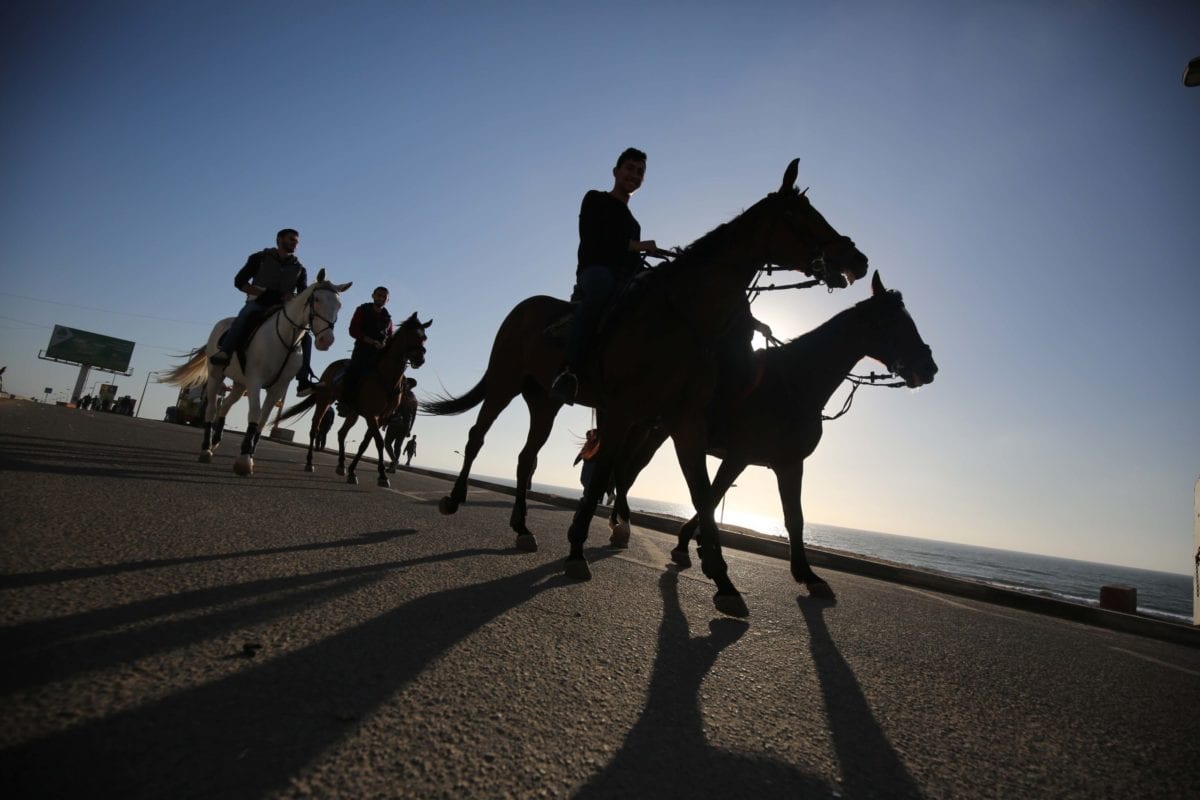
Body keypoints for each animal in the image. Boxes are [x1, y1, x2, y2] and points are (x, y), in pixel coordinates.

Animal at [159, 268, 350, 474]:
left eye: (339, 305)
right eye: (317, 300)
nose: (326, 340)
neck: (286, 338)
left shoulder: (277, 388)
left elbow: (263, 418)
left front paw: (249, 454)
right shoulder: (255, 381)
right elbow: (255, 413)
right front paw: (244, 458)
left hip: (239, 384)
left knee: (225, 405)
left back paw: (216, 440)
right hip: (216, 375)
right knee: (211, 408)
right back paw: (206, 449)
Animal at [279, 311, 432, 489]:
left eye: (425, 337)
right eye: (412, 335)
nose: (420, 360)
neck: (387, 377)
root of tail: (331, 367)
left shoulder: (382, 417)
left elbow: (365, 443)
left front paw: (353, 471)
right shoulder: (372, 415)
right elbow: (379, 442)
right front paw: (382, 475)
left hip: (353, 413)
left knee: (341, 433)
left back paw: (341, 465)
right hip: (324, 401)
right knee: (315, 429)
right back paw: (310, 463)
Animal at [427, 159, 868, 618]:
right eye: (800, 216)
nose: (857, 258)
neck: (680, 317)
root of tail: (524, 308)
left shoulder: (683, 421)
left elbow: (700, 493)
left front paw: (723, 581)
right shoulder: (623, 411)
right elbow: (603, 474)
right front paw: (576, 550)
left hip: (546, 402)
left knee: (526, 459)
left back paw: (521, 527)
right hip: (504, 383)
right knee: (477, 437)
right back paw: (455, 499)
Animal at [609, 272, 936, 597]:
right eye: (893, 321)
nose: (929, 367)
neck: (794, 383)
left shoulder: (788, 464)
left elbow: (793, 517)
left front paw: (807, 574)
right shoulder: (738, 457)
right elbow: (711, 497)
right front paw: (697, 548)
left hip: (658, 431)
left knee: (629, 468)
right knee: (628, 469)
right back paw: (620, 523)